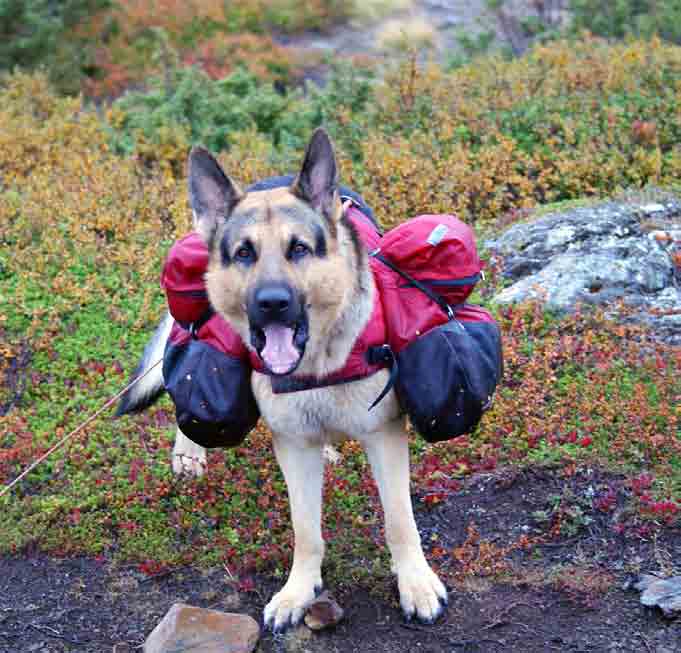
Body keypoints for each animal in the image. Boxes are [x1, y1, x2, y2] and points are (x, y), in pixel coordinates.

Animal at [121, 129, 446, 632]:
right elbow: (305, 529)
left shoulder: (383, 436)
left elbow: (398, 520)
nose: (271, 303)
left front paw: (416, 584)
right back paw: (189, 454)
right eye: (244, 253)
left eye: (298, 249)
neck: (316, 367)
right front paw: (299, 590)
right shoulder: (293, 448)